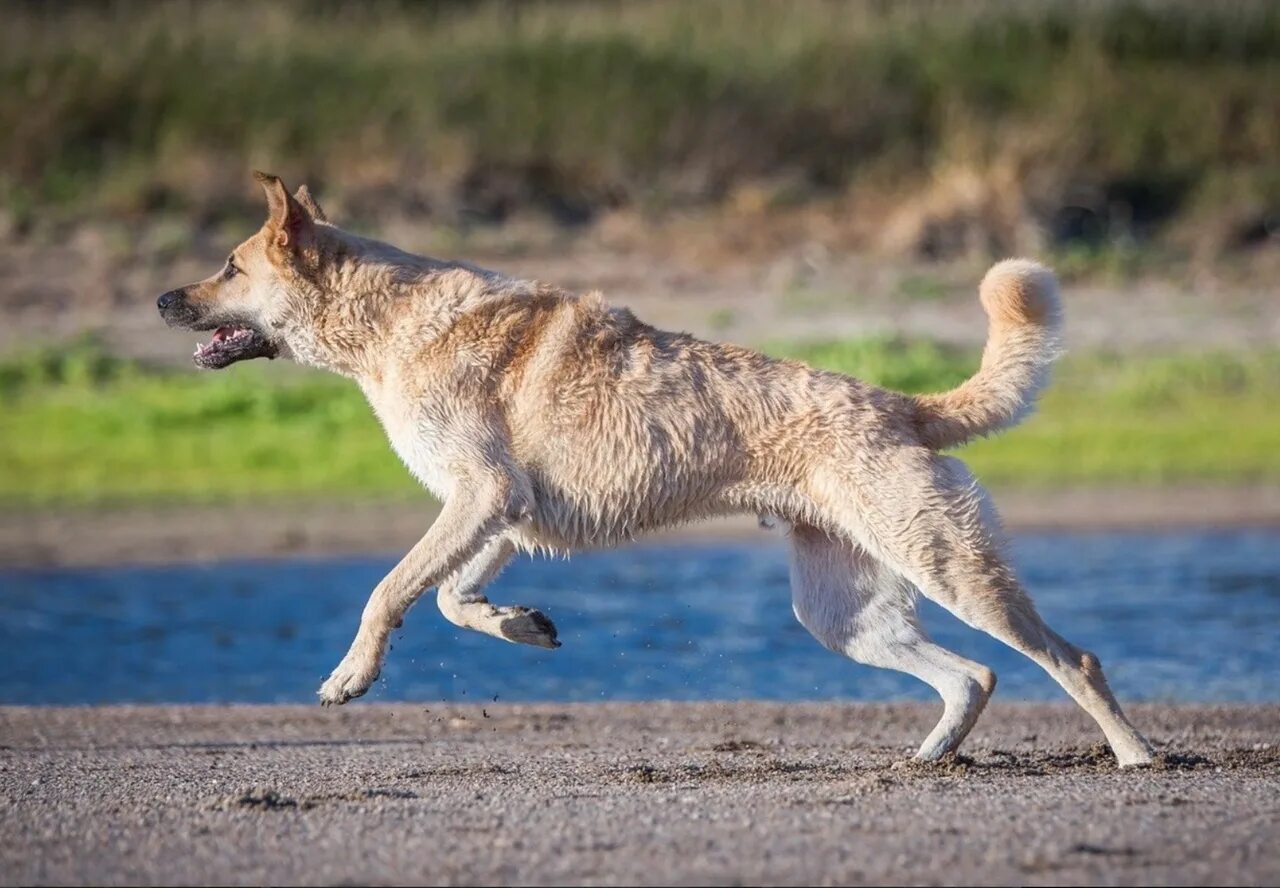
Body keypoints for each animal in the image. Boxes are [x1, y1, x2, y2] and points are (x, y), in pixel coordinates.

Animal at [154, 172, 1157, 767]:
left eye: (229, 265)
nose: (164, 299)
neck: (386, 323)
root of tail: (900, 403)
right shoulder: (503, 512)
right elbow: (447, 596)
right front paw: (521, 625)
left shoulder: (482, 496)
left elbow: (390, 591)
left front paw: (350, 677)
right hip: (842, 610)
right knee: (972, 676)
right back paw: (928, 757)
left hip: (950, 567)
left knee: (1070, 657)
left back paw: (1135, 755)